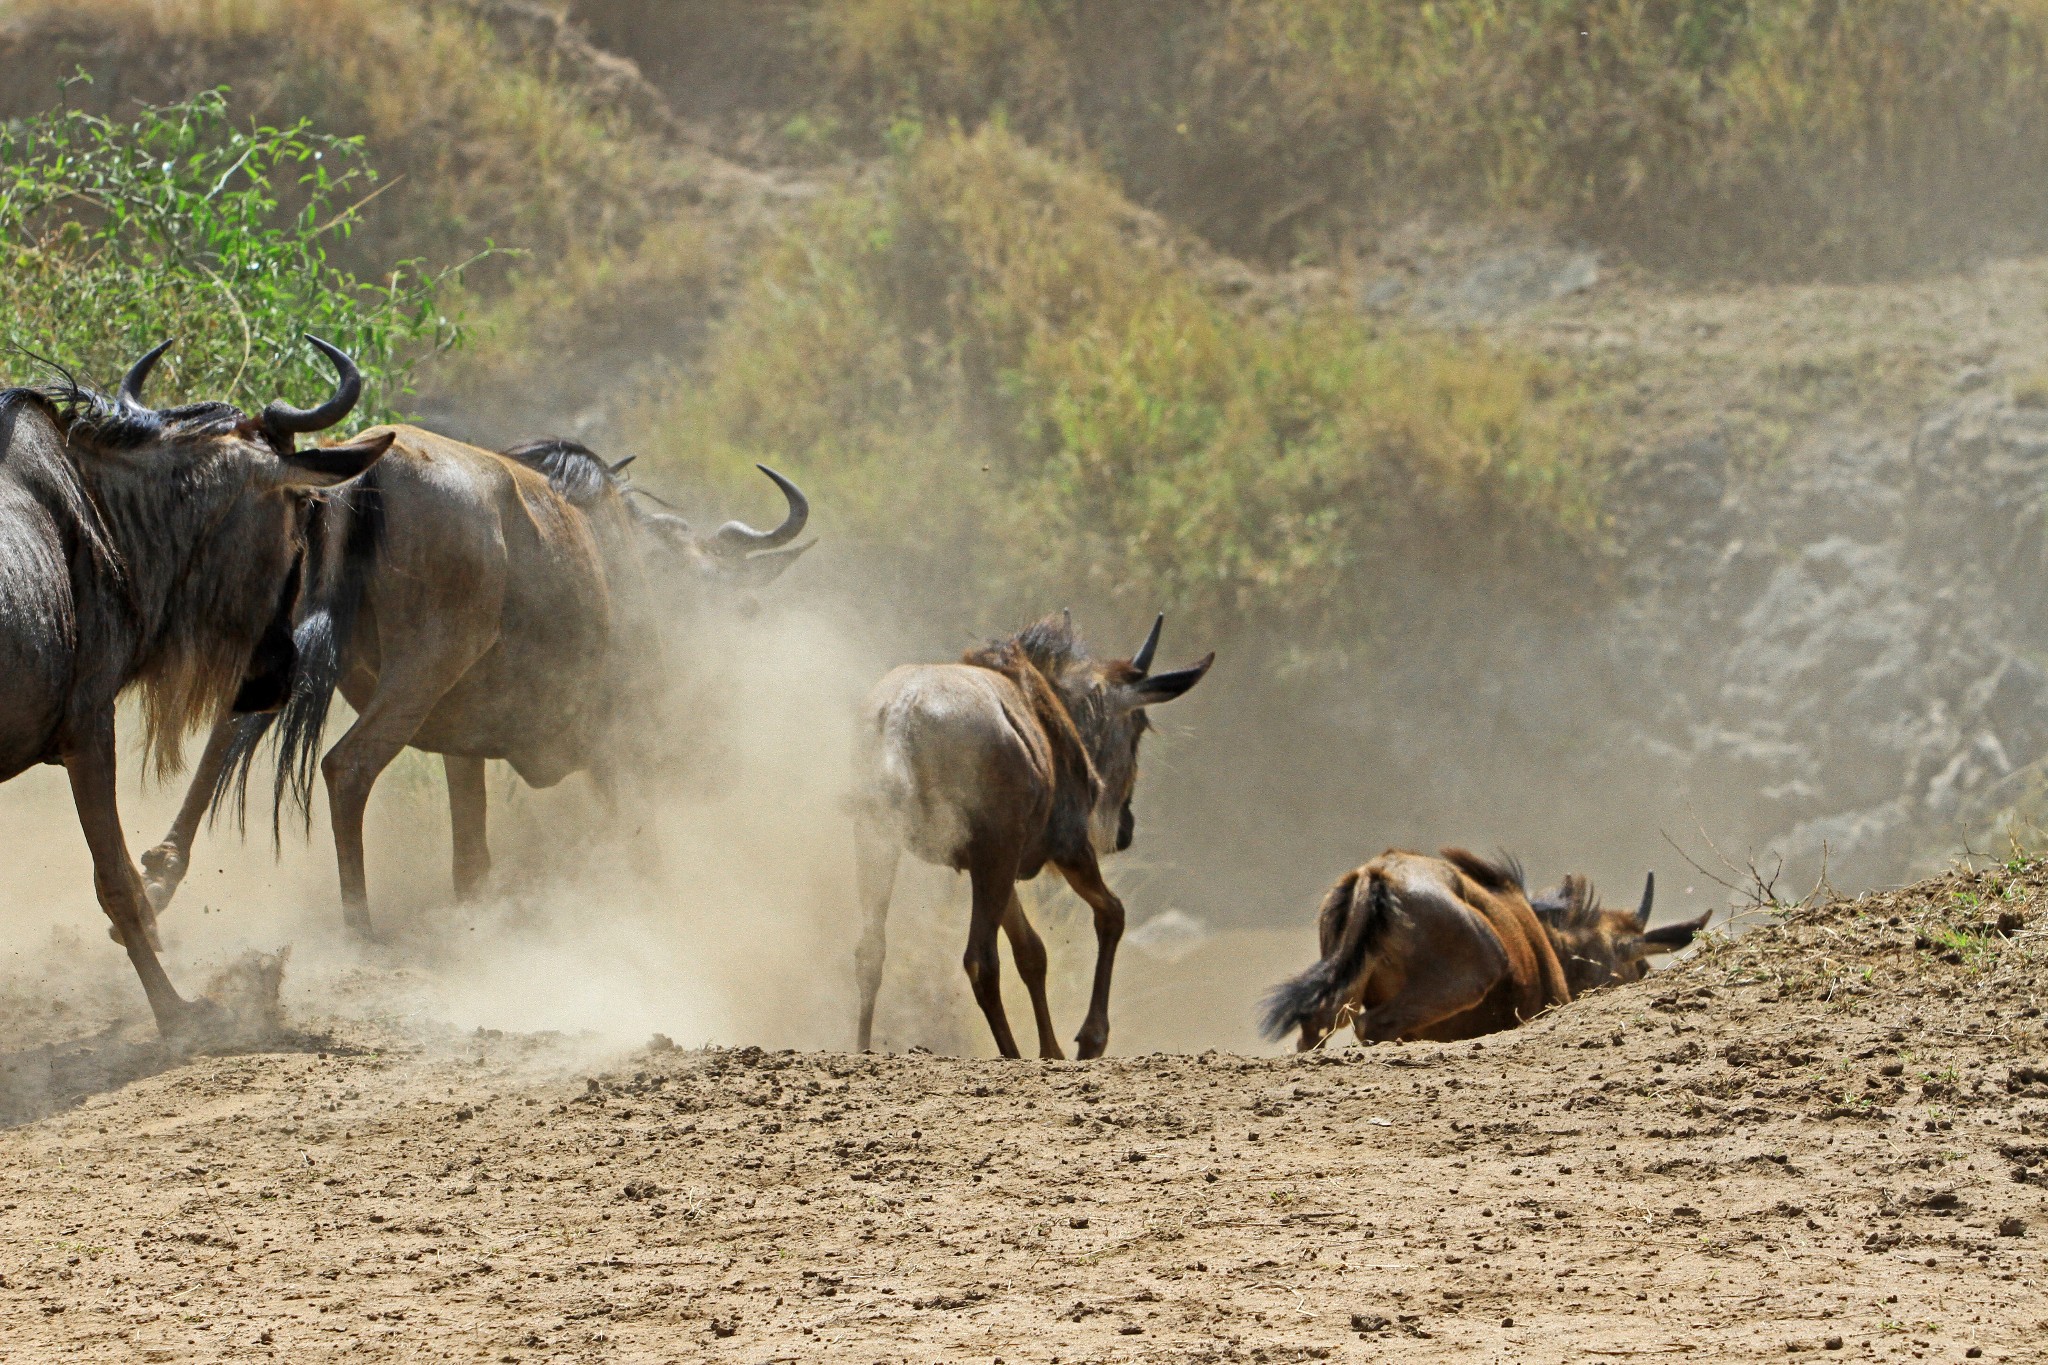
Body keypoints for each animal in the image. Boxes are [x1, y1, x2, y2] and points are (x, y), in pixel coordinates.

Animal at [851, 613, 1204, 1064]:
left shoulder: (991, 863)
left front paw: (1052, 1049)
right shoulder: (1067, 847)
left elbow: (1032, 952)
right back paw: (1011, 1053)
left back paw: (862, 1047)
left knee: (871, 949)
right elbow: (1112, 913)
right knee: (980, 960)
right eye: (1138, 724)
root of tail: (900, 715)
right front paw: (1090, 1039)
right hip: (991, 849)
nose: (1124, 830)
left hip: (878, 837)